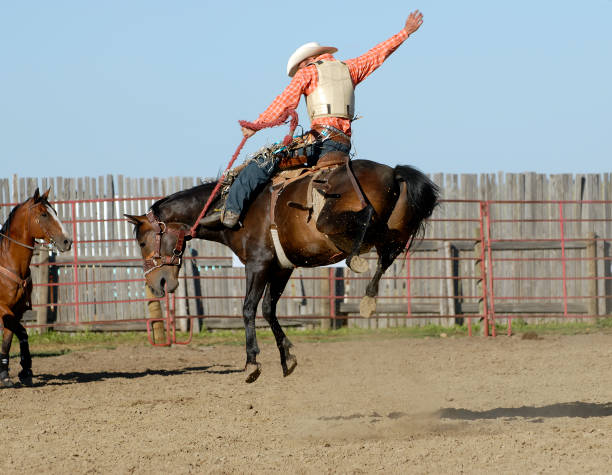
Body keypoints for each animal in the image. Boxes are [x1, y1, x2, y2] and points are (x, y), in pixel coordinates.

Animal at [0, 188, 72, 388]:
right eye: (43, 214)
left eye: (55, 212)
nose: (67, 241)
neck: (9, 263)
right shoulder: (3, 309)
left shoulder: (17, 310)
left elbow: (17, 336)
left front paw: (23, 370)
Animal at [126, 160, 438, 384]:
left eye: (141, 242)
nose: (157, 282)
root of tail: (394, 173)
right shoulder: (281, 268)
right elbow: (268, 309)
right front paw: (287, 357)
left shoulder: (258, 264)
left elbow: (249, 308)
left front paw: (252, 363)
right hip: (395, 228)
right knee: (388, 253)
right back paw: (368, 298)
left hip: (346, 220)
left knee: (367, 222)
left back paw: (356, 261)